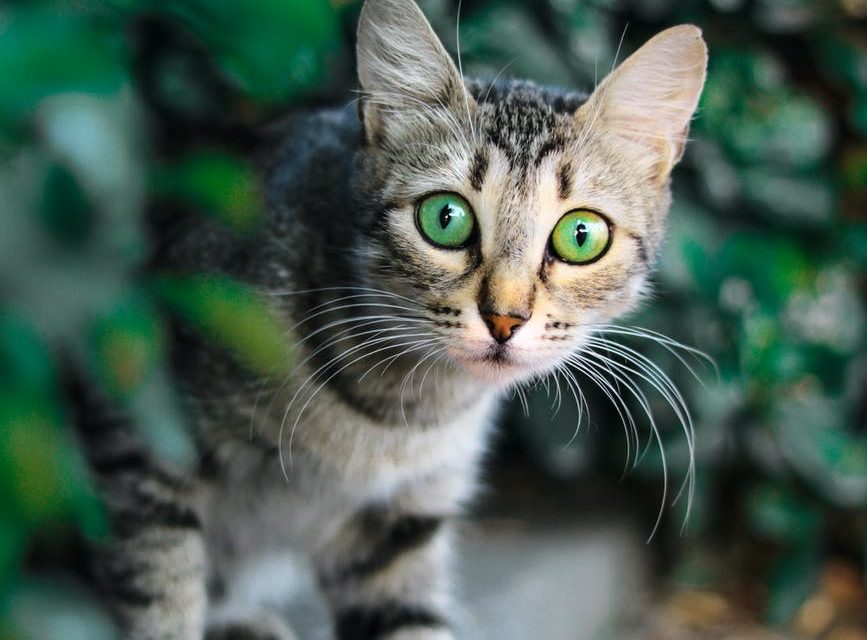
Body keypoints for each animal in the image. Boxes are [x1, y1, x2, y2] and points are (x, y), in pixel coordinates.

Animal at [79, 1, 704, 640]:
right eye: (445, 218)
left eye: (581, 235)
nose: (505, 319)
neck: (400, 418)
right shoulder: (143, 435)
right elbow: (158, 594)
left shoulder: (399, 523)